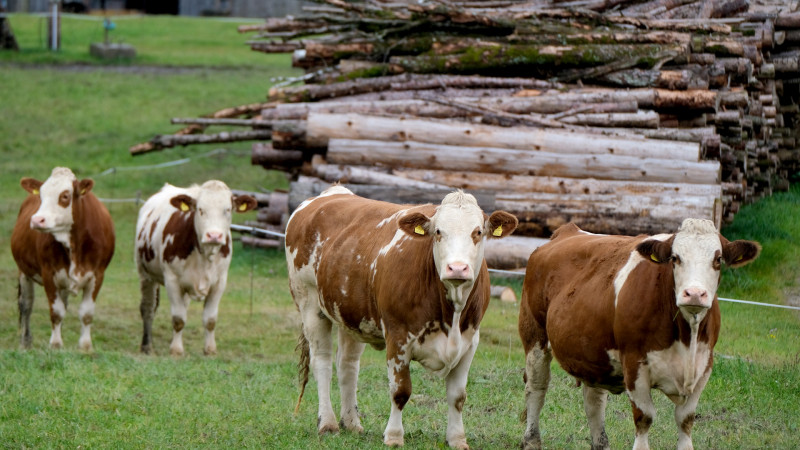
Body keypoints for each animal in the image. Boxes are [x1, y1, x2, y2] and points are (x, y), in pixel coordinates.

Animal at [11, 167, 115, 350]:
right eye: (41, 195)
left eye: (65, 196)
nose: (37, 220)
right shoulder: (48, 274)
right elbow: (56, 312)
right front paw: (56, 344)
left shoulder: (98, 274)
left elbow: (86, 313)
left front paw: (85, 346)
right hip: (24, 272)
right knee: (26, 305)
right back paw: (25, 341)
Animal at [133, 181, 255, 356]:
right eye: (200, 209)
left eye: (227, 209)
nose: (214, 235)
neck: (205, 255)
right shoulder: (172, 280)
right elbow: (178, 319)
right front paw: (176, 350)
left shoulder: (220, 282)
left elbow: (210, 320)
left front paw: (210, 350)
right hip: (145, 274)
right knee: (148, 308)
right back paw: (146, 346)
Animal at [286, 185, 520, 446]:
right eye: (438, 232)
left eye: (478, 231)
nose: (457, 268)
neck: (451, 315)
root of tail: (333, 191)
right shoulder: (397, 337)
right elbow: (400, 391)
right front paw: (394, 436)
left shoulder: (470, 341)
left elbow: (458, 396)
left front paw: (457, 439)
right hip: (309, 304)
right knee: (323, 363)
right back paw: (328, 424)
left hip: (352, 315)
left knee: (347, 365)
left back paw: (352, 423)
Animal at [520, 220, 760, 448]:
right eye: (675, 258)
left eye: (718, 259)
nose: (694, 294)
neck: (686, 338)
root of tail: (568, 231)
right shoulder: (634, 365)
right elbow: (644, 418)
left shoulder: (704, 367)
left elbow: (685, 420)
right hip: (534, 336)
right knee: (536, 388)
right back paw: (531, 441)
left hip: (594, 354)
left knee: (594, 402)